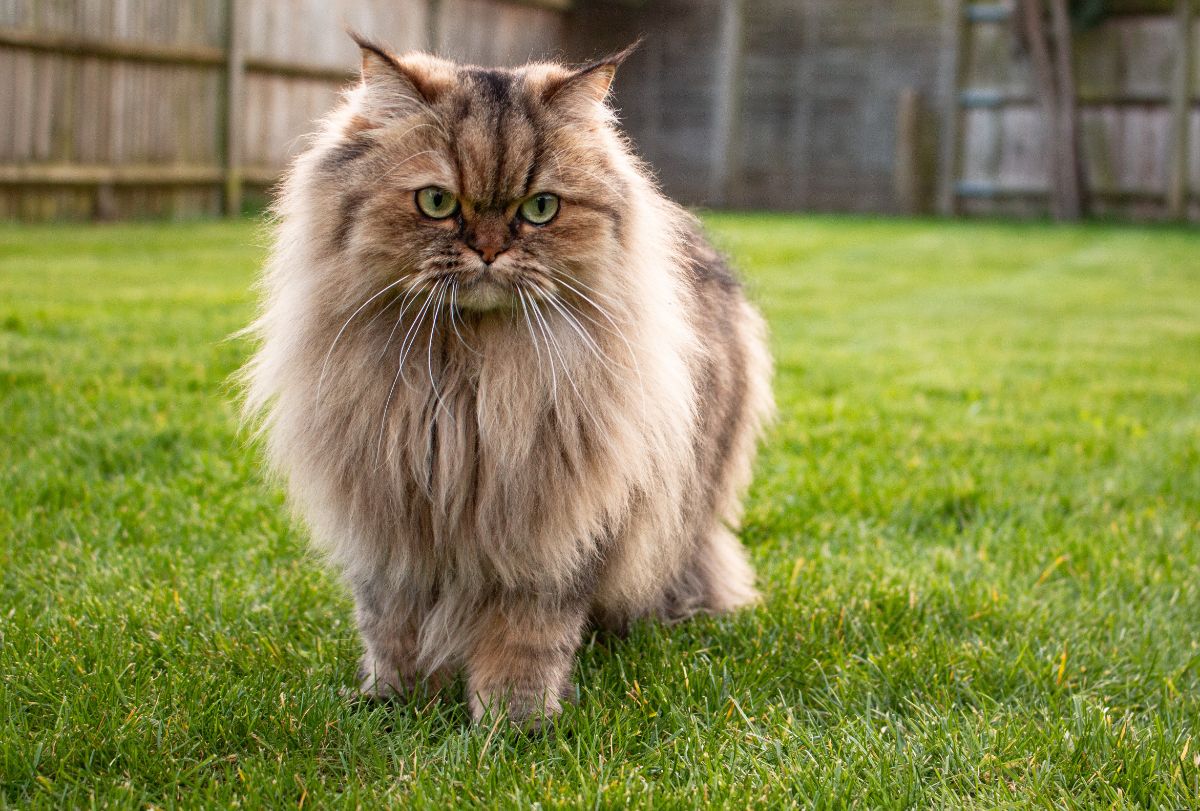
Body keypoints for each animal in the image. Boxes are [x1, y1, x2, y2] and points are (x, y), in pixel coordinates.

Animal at [238, 33, 772, 729]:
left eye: (539, 209)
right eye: (437, 202)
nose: (489, 250)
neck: (468, 375)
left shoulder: (554, 528)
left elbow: (526, 639)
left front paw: (512, 724)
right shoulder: (391, 517)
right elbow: (391, 626)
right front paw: (395, 704)